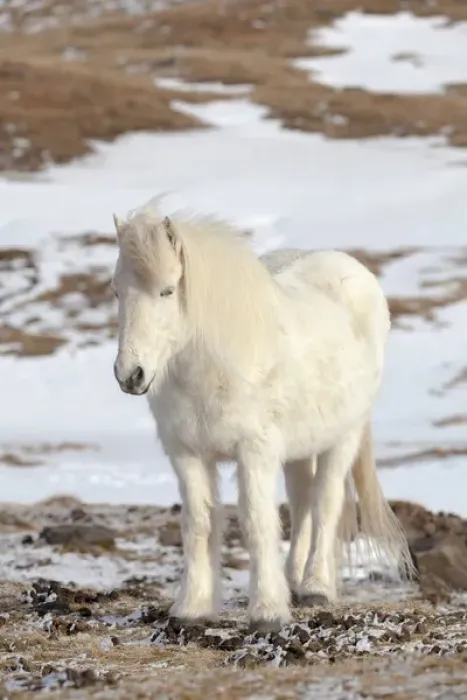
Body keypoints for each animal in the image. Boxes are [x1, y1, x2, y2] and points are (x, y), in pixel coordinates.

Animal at [111, 204, 415, 633]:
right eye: (117, 291)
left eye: (167, 290)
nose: (130, 375)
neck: (214, 365)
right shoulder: (187, 454)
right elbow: (199, 524)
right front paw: (191, 607)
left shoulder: (254, 451)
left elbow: (256, 522)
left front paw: (267, 612)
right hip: (299, 448)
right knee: (302, 503)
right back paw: (293, 578)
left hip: (344, 437)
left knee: (325, 503)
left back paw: (316, 586)